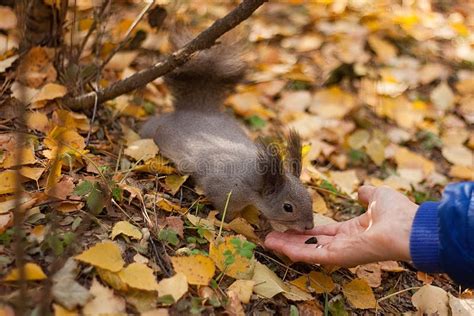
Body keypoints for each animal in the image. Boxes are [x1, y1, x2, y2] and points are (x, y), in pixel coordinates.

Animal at [141, 33, 314, 232]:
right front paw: (233, 224)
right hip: (157, 132)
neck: (254, 181)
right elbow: (227, 212)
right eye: (288, 207)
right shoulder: (225, 193)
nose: (309, 227)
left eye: (310, 198)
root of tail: (198, 110)